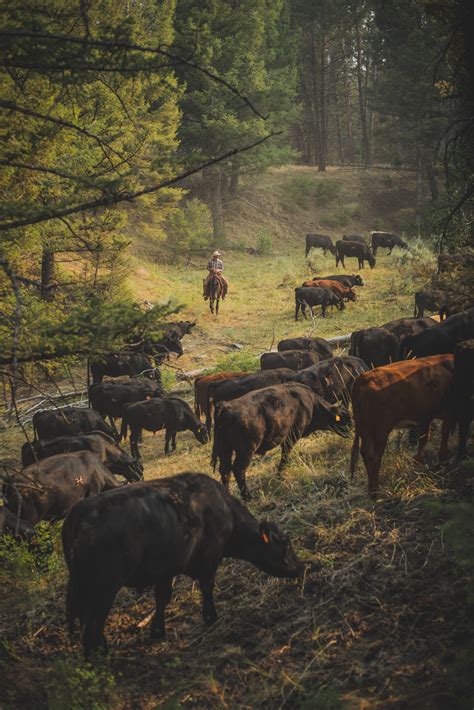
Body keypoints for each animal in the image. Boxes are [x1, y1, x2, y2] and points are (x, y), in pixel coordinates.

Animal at [62, 476, 304, 660]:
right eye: (285, 544)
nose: (300, 567)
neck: (223, 509)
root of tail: (79, 513)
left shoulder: (166, 571)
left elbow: (162, 598)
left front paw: (157, 631)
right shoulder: (209, 561)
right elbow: (207, 588)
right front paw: (211, 618)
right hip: (103, 590)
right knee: (91, 628)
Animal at [213, 384, 350, 500]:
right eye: (344, 418)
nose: (352, 430)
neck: (310, 402)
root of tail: (225, 407)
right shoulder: (291, 436)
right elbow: (285, 456)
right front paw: (280, 476)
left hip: (225, 450)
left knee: (225, 471)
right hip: (246, 450)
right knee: (238, 469)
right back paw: (248, 497)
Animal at [348, 356, 456, 496]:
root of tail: (363, 378)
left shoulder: (426, 417)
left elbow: (423, 438)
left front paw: (418, 463)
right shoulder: (449, 411)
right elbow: (444, 433)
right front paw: (442, 460)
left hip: (365, 429)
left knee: (365, 453)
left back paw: (371, 489)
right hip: (380, 430)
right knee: (374, 456)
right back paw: (375, 490)